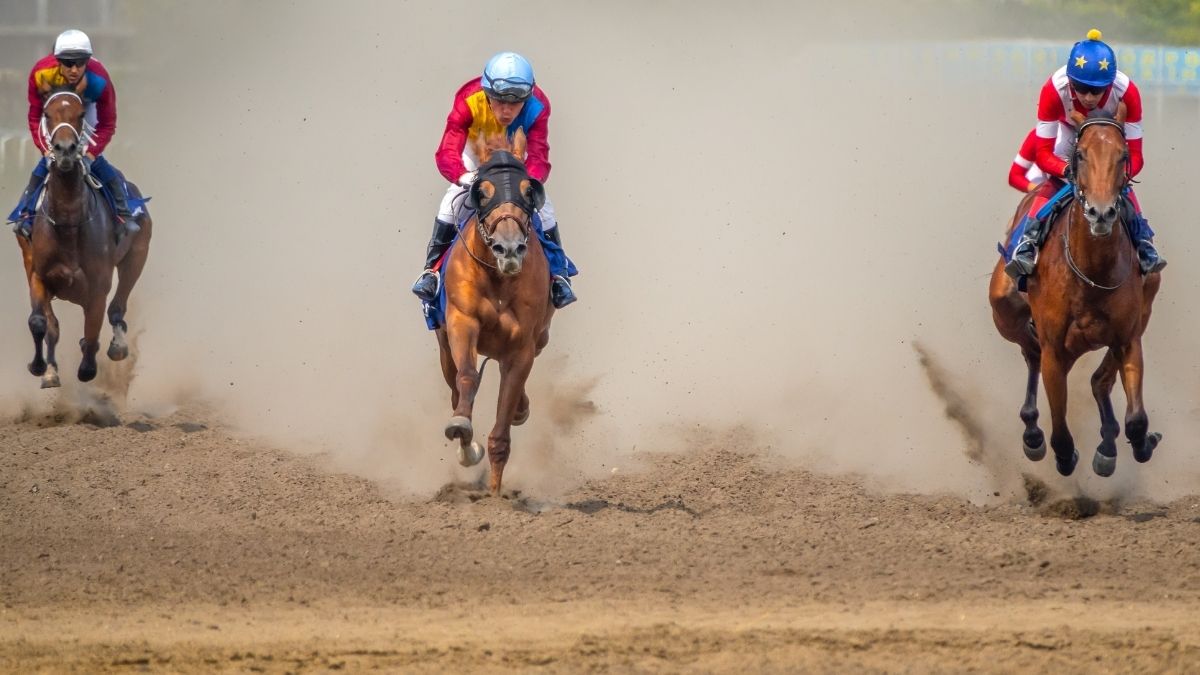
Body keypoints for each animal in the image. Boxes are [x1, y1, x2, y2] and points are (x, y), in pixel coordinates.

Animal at [17, 80, 152, 388]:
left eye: (80, 115)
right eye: (46, 113)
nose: (65, 150)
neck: (68, 222)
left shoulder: (98, 287)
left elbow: (91, 334)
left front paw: (88, 366)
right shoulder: (39, 275)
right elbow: (40, 322)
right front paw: (41, 367)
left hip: (137, 255)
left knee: (117, 308)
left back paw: (117, 345)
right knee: (53, 325)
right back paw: (51, 369)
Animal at [436, 129, 554, 495]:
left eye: (528, 191)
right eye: (482, 192)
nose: (510, 248)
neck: (499, 279)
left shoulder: (522, 347)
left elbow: (501, 436)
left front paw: (495, 496)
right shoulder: (462, 322)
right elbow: (467, 378)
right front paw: (463, 433)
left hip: (539, 339)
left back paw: (520, 409)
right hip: (443, 343)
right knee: (454, 386)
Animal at [989, 104, 1162, 477]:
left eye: (1123, 155)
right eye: (1080, 155)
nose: (1101, 212)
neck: (1091, 272)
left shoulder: (1128, 337)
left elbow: (1136, 419)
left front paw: (1138, 443)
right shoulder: (1054, 348)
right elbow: (1061, 430)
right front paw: (1060, 452)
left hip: (1141, 312)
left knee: (1099, 381)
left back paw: (1107, 443)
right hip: (1005, 311)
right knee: (1031, 353)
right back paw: (1032, 433)